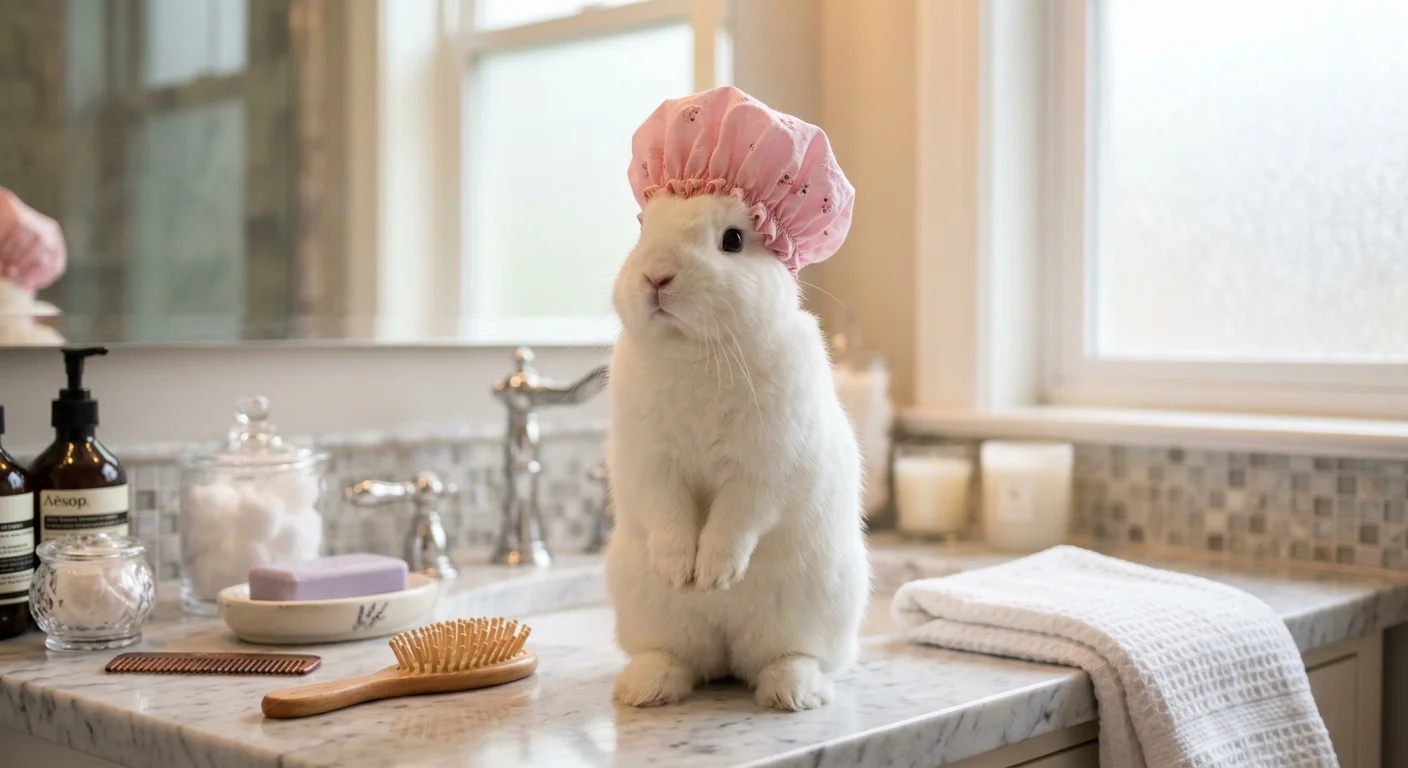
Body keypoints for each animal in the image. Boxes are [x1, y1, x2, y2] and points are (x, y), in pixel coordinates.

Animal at [604, 191, 871, 712]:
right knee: (680, 658)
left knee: (788, 657)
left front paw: (712, 575)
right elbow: (668, 517)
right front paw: (679, 572)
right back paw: (644, 688)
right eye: (645, 230)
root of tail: (728, 649)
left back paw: (793, 692)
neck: (696, 351)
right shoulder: (651, 465)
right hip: (651, 612)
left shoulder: (765, 467)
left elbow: (736, 520)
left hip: (811, 612)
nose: (657, 276)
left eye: (732, 240)